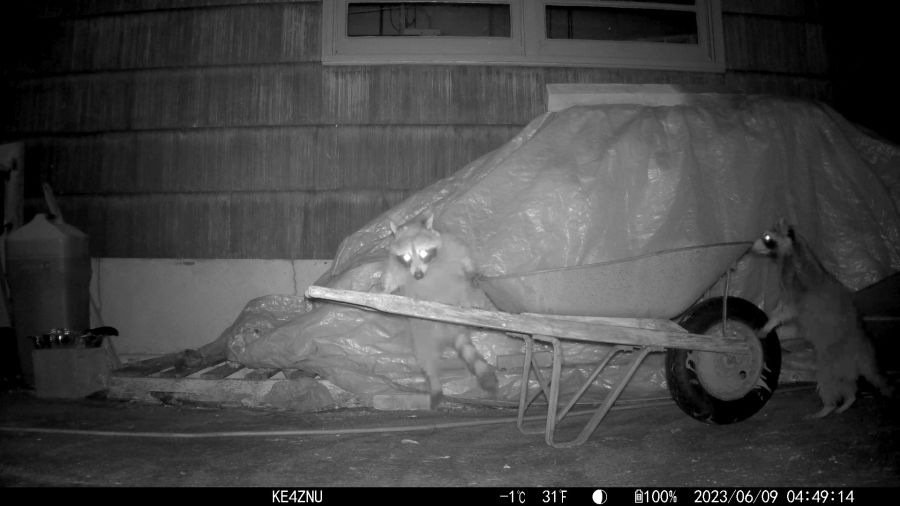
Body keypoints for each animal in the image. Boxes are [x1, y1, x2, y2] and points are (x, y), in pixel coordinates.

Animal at [380, 213, 498, 404]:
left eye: (423, 253)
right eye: (406, 257)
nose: (418, 275)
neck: (428, 271)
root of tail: (450, 332)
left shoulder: (450, 246)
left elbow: (465, 259)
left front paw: (473, 272)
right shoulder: (396, 266)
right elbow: (391, 279)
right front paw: (383, 290)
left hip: (459, 293)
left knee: (464, 289)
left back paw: (469, 302)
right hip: (421, 332)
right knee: (426, 357)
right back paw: (434, 381)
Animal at [752, 219, 893, 418]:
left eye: (767, 238)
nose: (750, 247)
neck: (795, 250)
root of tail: (863, 356)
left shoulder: (797, 289)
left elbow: (784, 311)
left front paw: (768, 325)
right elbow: (789, 321)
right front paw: (774, 329)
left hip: (833, 359)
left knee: (829, 382)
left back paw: (828, 407)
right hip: (844, 365)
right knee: (847, 385)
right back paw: (848, 400)